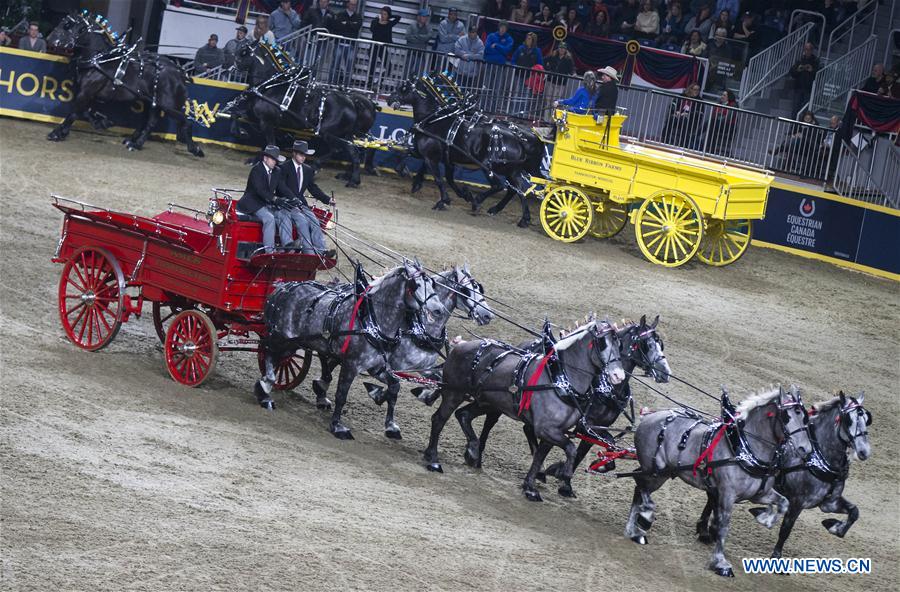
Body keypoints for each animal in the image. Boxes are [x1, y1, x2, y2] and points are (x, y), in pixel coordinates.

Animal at [44, 12, 203, 156]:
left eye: (67, 25)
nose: (49, 39)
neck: (98, 60)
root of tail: (179, 72)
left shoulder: (86, 92)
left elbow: (73, 113)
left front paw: (56, 133)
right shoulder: (85, 93)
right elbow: (84, 111)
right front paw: (102, 122)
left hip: (167, 105)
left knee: (182, 122)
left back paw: (193, 149)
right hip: (151, 102)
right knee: (150, 121)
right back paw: (134, 141)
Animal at [258, 262, 444, 440]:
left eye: (432, 284)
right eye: (416, 285)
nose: (439, 310)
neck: (371, 321)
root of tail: (282, 287)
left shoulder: (377, 367)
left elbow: (394, 388)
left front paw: (391, 425)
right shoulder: (351, 365)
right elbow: (341, 395)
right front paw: (337, 426)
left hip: (295, 343)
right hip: (281, 338)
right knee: (268, 352)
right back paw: (265, 390)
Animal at [310, 264, 492, 440]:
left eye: (480, 289)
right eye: (465, 290)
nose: (487, 315)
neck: (420, 327)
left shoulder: (424, 367)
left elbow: (439, 381)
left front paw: (424, 396)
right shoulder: (390, 365)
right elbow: (394, 388)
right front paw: (383, 405)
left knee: (331, 359)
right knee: (325, 356)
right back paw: (322, 389)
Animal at [424, 320, 624, 500]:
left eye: (619, 344)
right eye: (602, 342)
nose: (618, 375)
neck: (560, 379)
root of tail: (461, 345)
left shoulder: (554, 431)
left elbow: (540, 457)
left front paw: (530, 487)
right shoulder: (546, 429)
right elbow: (571, 448)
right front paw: (562, 473)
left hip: (486, 402)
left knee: (463, 415)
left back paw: (472, 451)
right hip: (453, 393)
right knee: (439, 419)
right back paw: (433, 459)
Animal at [624, 386, 816, 576]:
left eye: (806, 419)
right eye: (787, 417)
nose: (805, 449)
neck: (745, 448)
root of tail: (649, 417)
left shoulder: (760, 493)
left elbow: (783, 503)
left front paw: (765, 517)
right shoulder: (727, 494)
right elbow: (723, 527)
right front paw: (720, 563)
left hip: (661, 473)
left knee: (638, 485)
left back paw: (633, 531)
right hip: (655, 472)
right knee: (640, 485)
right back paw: (644, 518)